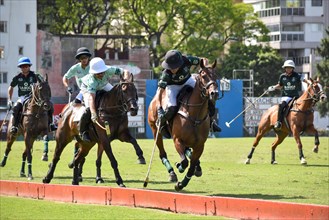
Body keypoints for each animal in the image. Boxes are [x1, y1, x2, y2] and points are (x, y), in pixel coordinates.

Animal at [147, 58, 218, 191]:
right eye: (203, 76)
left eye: (216, 75)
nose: (214, 93)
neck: (195, 116)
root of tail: (154, 99)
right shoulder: (177, 140)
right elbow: (184, 162)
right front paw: (178, 166)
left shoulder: (200, 145)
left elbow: (191, 167)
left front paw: (181, 184)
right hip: (155, 130)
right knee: (162, 153)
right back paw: (172, 173)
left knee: (188, 154)